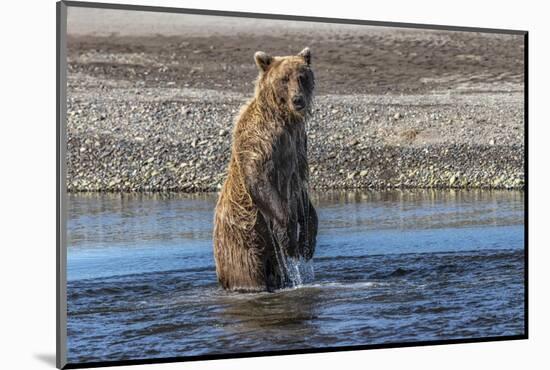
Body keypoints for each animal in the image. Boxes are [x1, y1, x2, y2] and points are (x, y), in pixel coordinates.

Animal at [215, 47, 322, 292]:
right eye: (284, 79)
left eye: (302, 77)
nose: (298, 100)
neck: (284, 119)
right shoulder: (260, 141)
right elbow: (259, 180)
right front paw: (289, 237)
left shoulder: (298, 148)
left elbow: (302, 194)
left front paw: (306, 244)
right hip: (244, 241)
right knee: (247, 273)